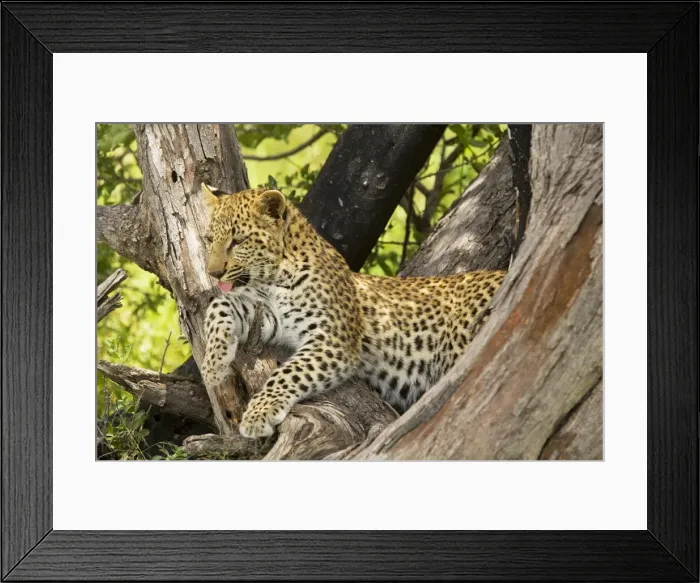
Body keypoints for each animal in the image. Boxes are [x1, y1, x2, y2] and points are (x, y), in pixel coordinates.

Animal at [199, 183, 506, 439]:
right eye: (210, 239)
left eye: (238, 241)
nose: (213, 273)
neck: (274, 278)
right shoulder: (267, 316)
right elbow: (219, 305)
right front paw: (213, 366)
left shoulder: (334, 340)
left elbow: (288, 372)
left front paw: (258, 413)